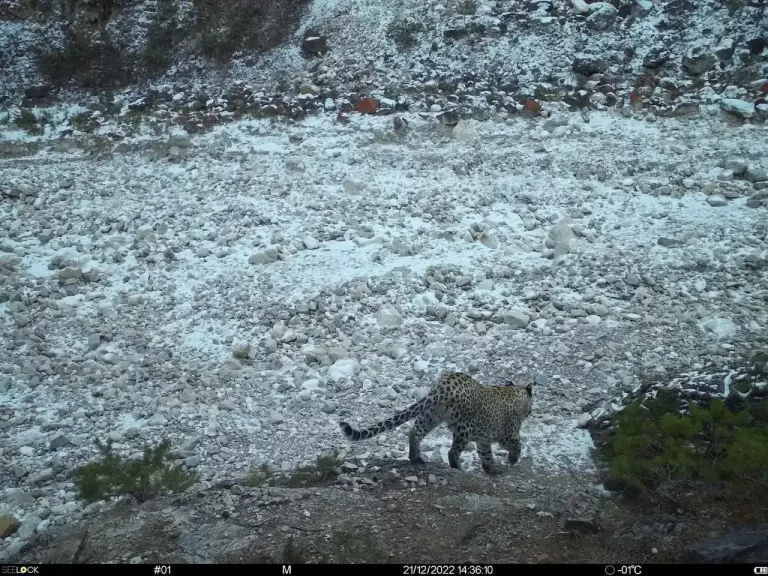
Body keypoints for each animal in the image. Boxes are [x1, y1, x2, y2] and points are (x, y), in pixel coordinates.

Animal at [340, 374, 532, 472]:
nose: (531, 412)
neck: (515, 393)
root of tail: (444, 384)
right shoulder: (509, 434)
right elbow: (517, 445)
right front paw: (512, 460)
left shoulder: (484, 440)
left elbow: (486, 454)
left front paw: (491, 468)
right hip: (464, 428)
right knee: (452, 451)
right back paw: (457, 467)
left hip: (431, 414)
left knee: (414, 431)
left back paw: (416, 458)